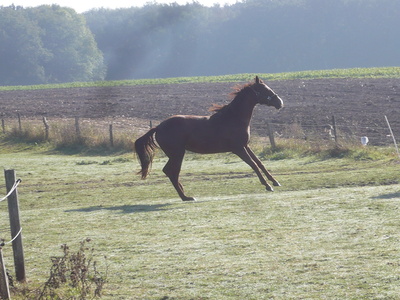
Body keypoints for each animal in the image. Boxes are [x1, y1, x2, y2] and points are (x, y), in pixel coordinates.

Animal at [135, 76, 284, 200]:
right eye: (265, 90)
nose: (280, 103)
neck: (233, 118)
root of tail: (158, 127)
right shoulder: (238, 149)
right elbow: (253, 165)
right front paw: (268, 186)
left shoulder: (246, 146)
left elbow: (259, 163)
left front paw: (275, 182)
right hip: (177, 154)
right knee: (171, 171)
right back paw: (186, 197)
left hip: (176, 154)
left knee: (171, 172)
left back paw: (184, 194)